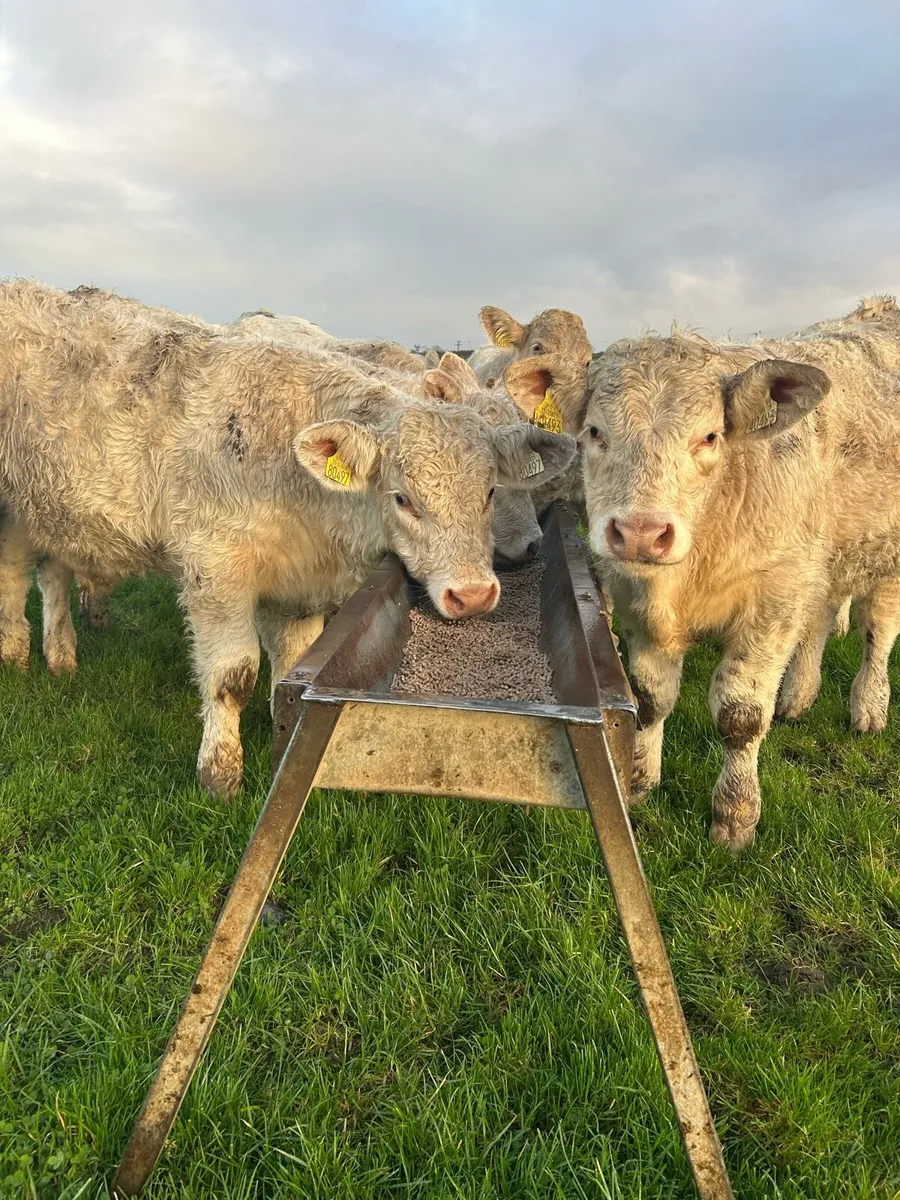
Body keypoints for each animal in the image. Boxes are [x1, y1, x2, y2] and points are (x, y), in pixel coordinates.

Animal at [0, 281, 575, 798]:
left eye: (489, 490)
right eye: (403, 498)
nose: (473, 594)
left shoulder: (298, 585)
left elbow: (288, 671)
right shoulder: (216, 571)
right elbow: (232, 677)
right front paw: (220, 777)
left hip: (51, 509)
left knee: (51, 574)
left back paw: (60, 657)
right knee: (13, 577)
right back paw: (15, 657)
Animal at [504, 322, 900, 851]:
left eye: (710, 437)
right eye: (594, 432)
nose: (641, 532)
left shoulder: (773, 601)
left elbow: (741, 715)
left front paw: (735, 814)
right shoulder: (636, 604)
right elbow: (650, 697)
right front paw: (639, 779)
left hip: (882, 559)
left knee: (878, 631)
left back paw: (869, 706)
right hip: (823, 563)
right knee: (820, 618)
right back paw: (798, 696)